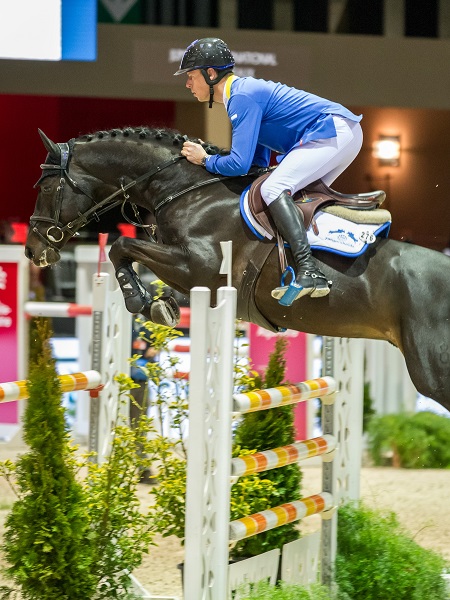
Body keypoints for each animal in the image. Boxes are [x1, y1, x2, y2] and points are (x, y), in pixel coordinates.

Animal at [24, 125, 450, 408]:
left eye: (44, 188)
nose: (32, 251)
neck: (187, 190)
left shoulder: (197, 267)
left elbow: (120, 245)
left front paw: (140, 301)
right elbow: (130, 256)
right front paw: (157, 304)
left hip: (432, 372)